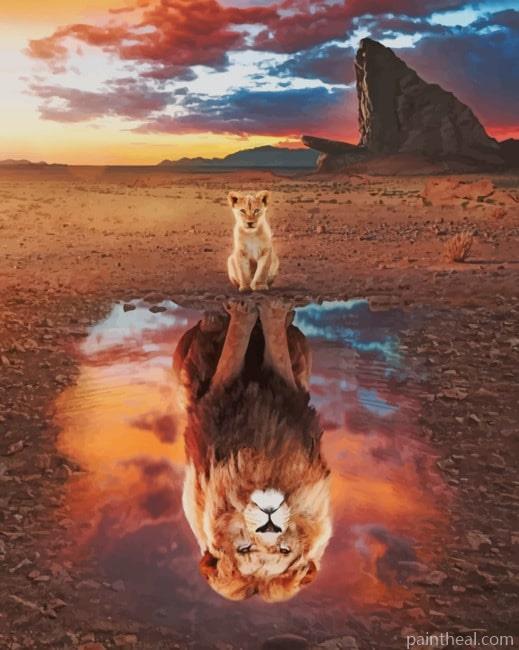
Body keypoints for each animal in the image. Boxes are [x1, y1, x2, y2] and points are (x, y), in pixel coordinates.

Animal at [173, 299, 332, 602]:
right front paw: (246, 308)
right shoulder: (218, 390)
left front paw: (271, 310)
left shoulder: (287, 386)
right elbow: (236, 342)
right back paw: (216, 319)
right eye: (244, 548)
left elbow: (276, 347)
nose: (269, 523)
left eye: (284, 550)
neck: (261, 465)